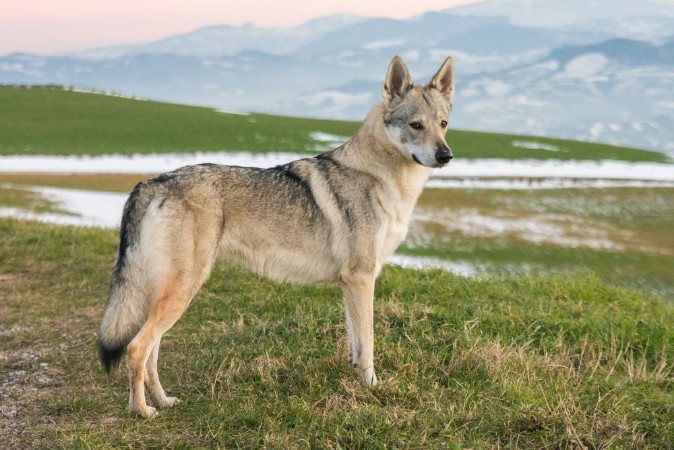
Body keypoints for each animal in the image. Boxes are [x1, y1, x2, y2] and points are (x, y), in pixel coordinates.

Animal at [98, 55, 455, 417]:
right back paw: (142, 411)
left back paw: (160, 401)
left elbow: (355, 343)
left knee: (150, 352)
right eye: (416, 125)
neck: (383, 179)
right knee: (136, 348)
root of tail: (152, 182)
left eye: (443, 124)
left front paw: (357, 380)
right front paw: (372, 387)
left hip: (170, 294)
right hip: (182, 291)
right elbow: (367, 343)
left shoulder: (351, 282)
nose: (446, 156)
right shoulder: (361, 277)